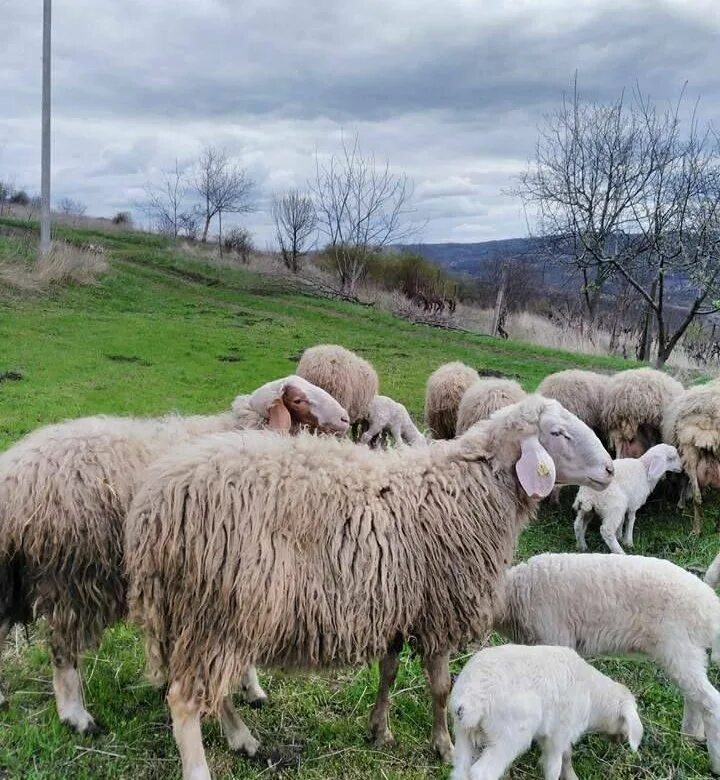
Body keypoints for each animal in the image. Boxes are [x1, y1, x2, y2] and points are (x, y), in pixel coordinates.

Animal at [0, 374, 348, 736]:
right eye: (298, 400)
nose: (345, 419)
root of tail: (14, 475)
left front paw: (250, 690)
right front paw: (250, 688)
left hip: (16, 571)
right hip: (73, 575)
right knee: (62, 647)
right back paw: (77, 716)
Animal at [125, 396, 612, 780]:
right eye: (558, 432)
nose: (609, 469)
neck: (469, 491)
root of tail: (154, 506)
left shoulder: (397, 604)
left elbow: (389, 672)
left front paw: (380, 730)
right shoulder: (437, 609)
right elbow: (442, 688)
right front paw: (444, 746)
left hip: (208, 615)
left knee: (213, 689)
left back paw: (242, 738)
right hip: (221, 609)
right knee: (185, 700)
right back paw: (203, 766)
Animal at [450, 644, 640, 780]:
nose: (621, 741)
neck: (593, 696)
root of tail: (472, 697)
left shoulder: (550, 735)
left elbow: (566, 756)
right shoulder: (559, 734)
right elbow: (554, 767)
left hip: (463, 733)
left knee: (460, 771)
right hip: (509, 737)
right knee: (481, 773)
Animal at [498, 552, 720, 772]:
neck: (516, 595)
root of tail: (710, 605)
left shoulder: (555, 637)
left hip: (677, 647)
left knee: (710, 701)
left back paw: (713, 761)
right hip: (689, 652)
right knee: (694, 696)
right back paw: (690, 737)